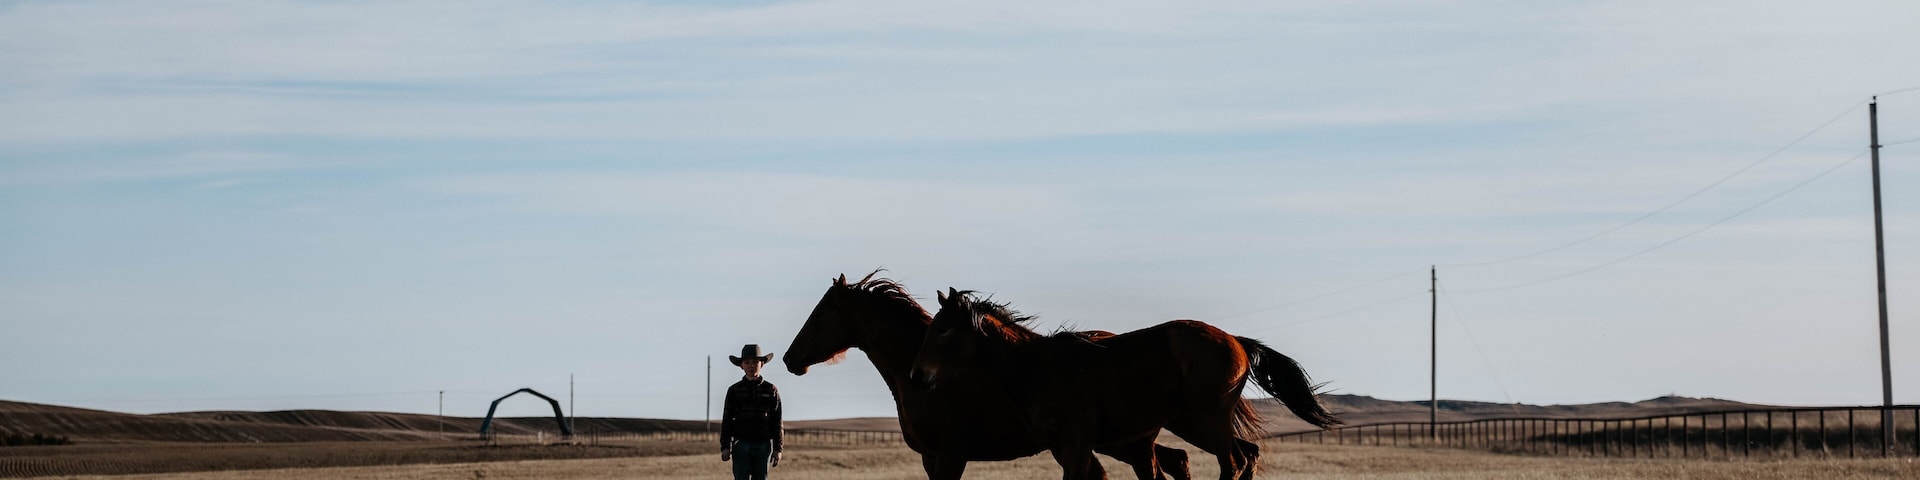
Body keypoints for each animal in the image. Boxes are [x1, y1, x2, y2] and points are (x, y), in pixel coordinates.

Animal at [781, 273, 1193, 480]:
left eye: (821, 313)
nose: (788, 358)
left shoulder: (951, 455)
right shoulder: (931, 459)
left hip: (1124, 443)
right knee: (1174, 461)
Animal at [910, 289, 1340, 480]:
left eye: (943, 329)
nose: (918, 376)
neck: (1037, 366)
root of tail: (1235, 340)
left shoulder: (1077, 443)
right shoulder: (1064, 447)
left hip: (1207, 418)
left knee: (1232, 462)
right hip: (1194, 422)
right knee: (1245, 456)